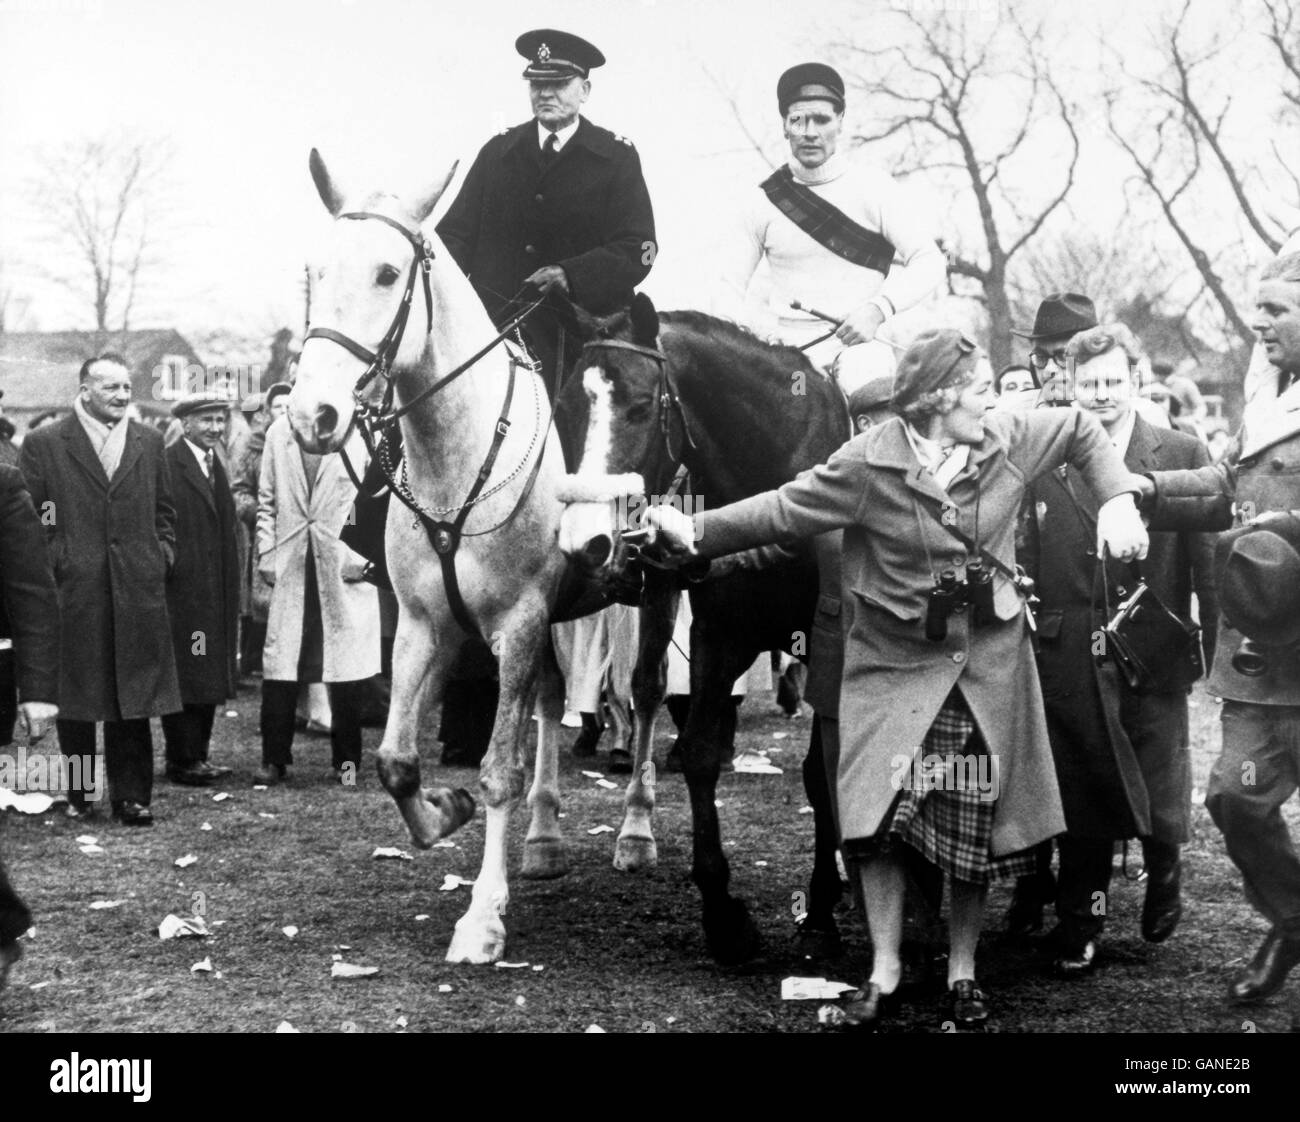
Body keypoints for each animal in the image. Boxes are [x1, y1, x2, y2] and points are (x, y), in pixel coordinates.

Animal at [292, 151, 660, 967]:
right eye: (314, 270)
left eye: (388, 273)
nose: (311, 415)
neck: (454, 458)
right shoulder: (423, 626)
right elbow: (396, 759)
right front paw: (443, 811)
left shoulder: (516, 624)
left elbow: (497, 771)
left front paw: (483, 916)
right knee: (554, 700)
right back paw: (545, 838)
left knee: (646, 697)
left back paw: (636, 828)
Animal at [551, 293, 847, 962]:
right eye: (567, 406)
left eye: (639, 406)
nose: (585, 541)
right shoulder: (718, 637)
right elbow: (701, 755)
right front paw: (723, 913)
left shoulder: (830, 649)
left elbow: (822, 773)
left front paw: (821, 902)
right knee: (647, 686)